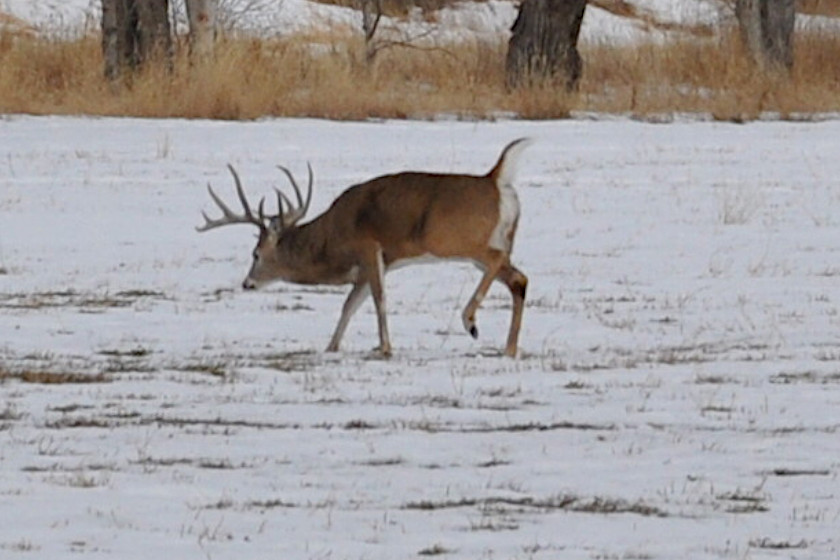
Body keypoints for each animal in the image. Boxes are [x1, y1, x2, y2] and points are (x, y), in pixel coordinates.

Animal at [199, 140, 532, 358]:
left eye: (255, 254)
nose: (247, 283)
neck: (331, 239)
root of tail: (495, 180)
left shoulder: (369, 249)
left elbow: (378, 299)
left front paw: (384, 347)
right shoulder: (364, 269)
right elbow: (349, 305)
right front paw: (331, 347)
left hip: (453, 239)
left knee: (499, 261)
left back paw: (470, 321)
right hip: (494, 242)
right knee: (519, 278)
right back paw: (509, 348)